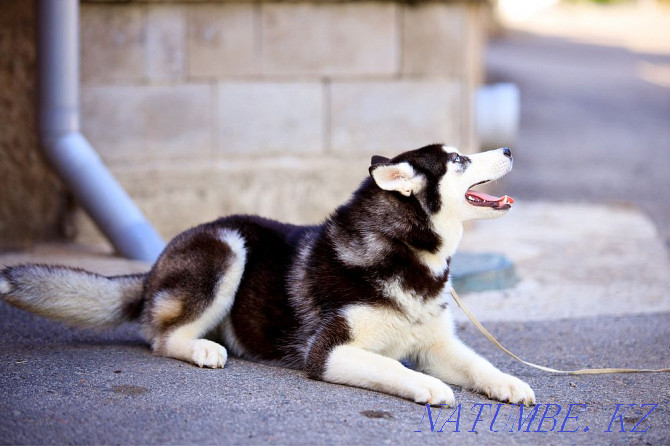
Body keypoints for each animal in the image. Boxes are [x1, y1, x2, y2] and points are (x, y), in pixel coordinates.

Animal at [0, 145, 536, 406]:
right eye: (460, 160)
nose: (510, 149)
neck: (409, 255)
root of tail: (153, 268)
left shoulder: (436, 344)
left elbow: (480, 364)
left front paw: (508, 383)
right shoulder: (328, 352)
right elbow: (395, 367)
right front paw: (428, 387)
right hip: (227, 248)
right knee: (161, 338)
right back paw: (202, 348)